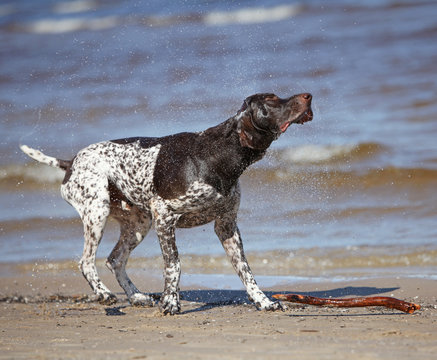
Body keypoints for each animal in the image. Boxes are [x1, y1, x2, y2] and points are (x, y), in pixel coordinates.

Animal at [20, 91, 312, 314]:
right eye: (271, 100)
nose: (308, 96)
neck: (216, 155)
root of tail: (71, 162)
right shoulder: (165, 217)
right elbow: (174, 265)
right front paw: (171, 302)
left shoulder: (226, 225)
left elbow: (245, 271)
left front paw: (263, 301)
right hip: (97, 212)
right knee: (86, 261)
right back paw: (104, 294)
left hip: (138, 224)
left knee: (115, 260)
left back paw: (136, 296)